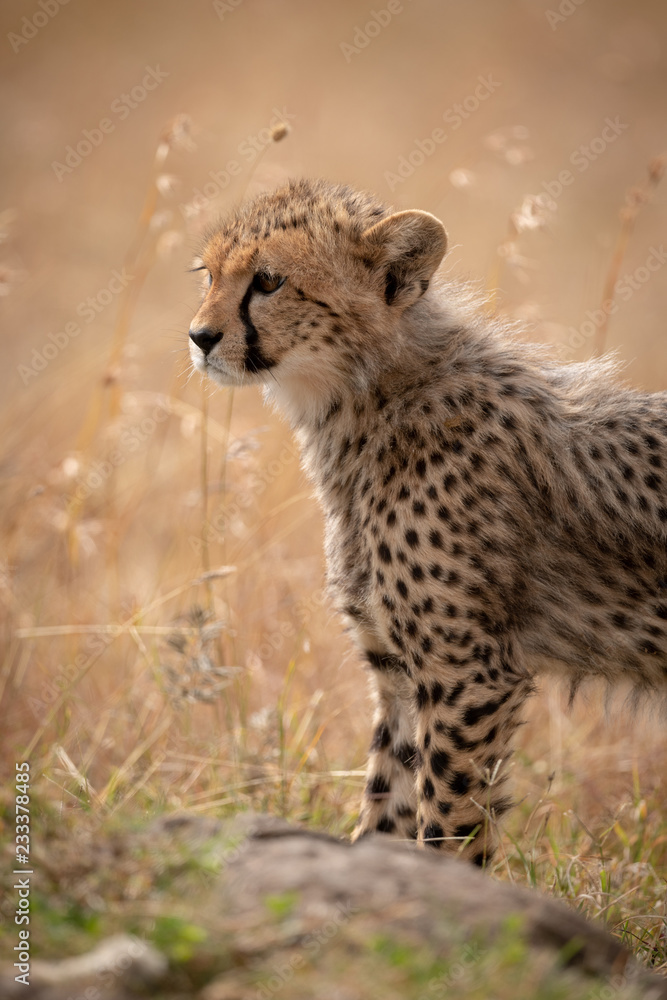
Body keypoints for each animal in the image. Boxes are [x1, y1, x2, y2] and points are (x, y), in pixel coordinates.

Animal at [188, 177, 667, 866]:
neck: (372, 398)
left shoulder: (470, 673)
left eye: (270, 281)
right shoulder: (399, 673)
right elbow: (386, 804)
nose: (199, 336)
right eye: (207, 273)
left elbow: (447, 822)